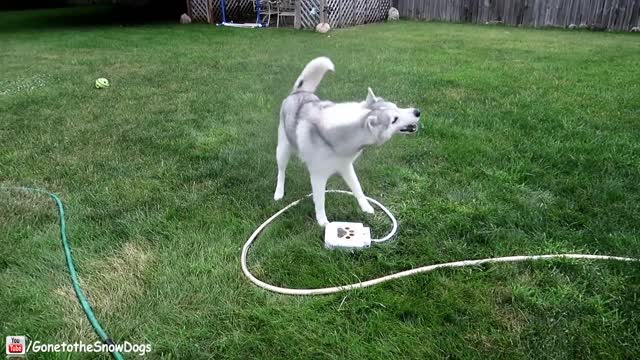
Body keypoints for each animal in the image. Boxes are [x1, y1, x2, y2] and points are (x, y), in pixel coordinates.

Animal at [274, 56, 420, 226]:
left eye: (397, 107)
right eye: (394, 120)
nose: (417, 112)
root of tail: (300, 91)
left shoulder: (346, 167)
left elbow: (357, 188)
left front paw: (366, 207)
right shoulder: (318, 176)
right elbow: (320, 200)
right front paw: (323, 222)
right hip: (283, 149)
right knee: (281, 172)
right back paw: (279, 192)